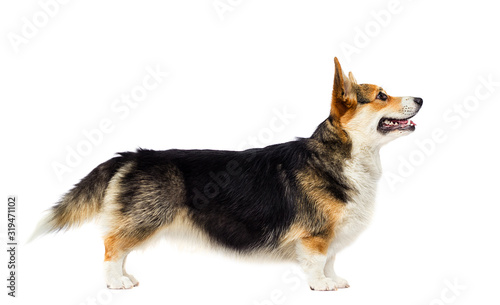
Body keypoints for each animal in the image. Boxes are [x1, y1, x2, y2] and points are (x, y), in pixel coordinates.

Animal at [31, 57, 422, 290]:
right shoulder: (316, 234)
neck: (350, 154)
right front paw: (320, 285)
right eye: (382, 95)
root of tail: (131, 156)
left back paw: (125, 276)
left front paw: (334, 280)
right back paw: (116, 283)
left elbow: (331, 259)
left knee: (120, 247)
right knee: (112, 245)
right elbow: (316, 260)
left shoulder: (332, 234)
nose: (420, 98)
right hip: (147, 218)